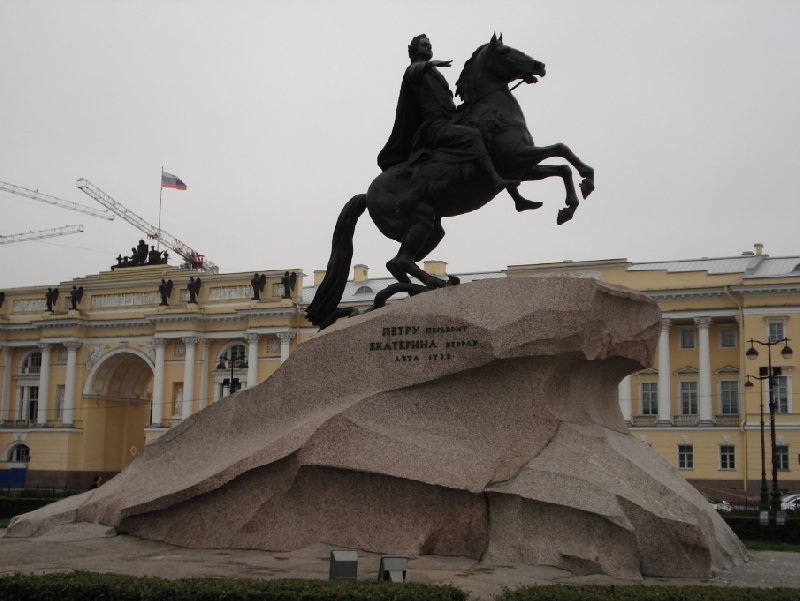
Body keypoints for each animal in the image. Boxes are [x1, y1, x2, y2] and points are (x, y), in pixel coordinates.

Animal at [306, 35, 592, 326]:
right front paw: (581, 189)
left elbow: (562, 164)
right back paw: (435, 283)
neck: (492, 111)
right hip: (420, 221)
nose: (539, 65)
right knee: (400, 261)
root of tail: (366, 194)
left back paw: (420, 289)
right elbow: (561, 150)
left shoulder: (523, 168)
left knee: (397, 264)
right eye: (505, 51)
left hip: (433, 229)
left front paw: (571, 201)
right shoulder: (518, 157)